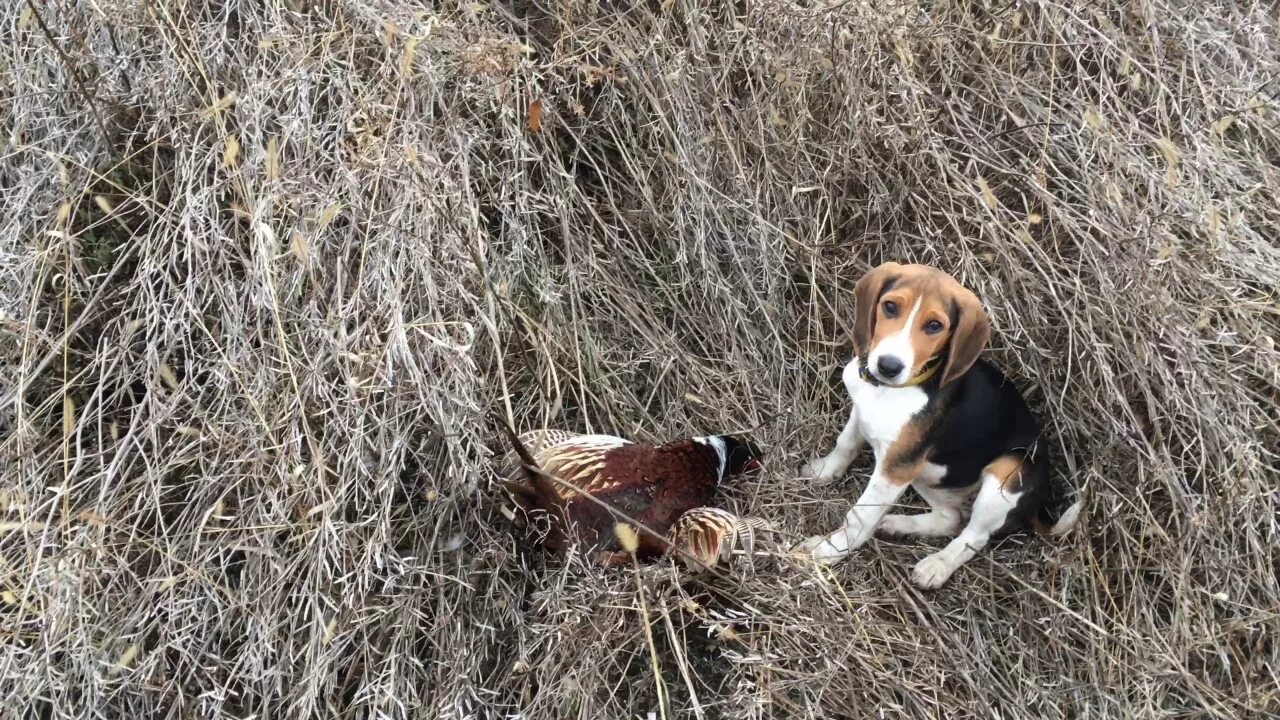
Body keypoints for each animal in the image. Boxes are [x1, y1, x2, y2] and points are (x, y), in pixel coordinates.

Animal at [788, 260, 1080, 586]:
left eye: (934, 326)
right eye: (890, 307)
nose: (888, 366)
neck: (891, 389)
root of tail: (1042, 500)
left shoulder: (895, 469)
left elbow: (860, 516)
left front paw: (829, 550)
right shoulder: (865, 418)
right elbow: (846, 443)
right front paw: (824, 471)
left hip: (1006, 474)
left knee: (973, 535)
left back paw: (937, 566)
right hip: (928, 474)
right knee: (952, 518)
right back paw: (897, 523)